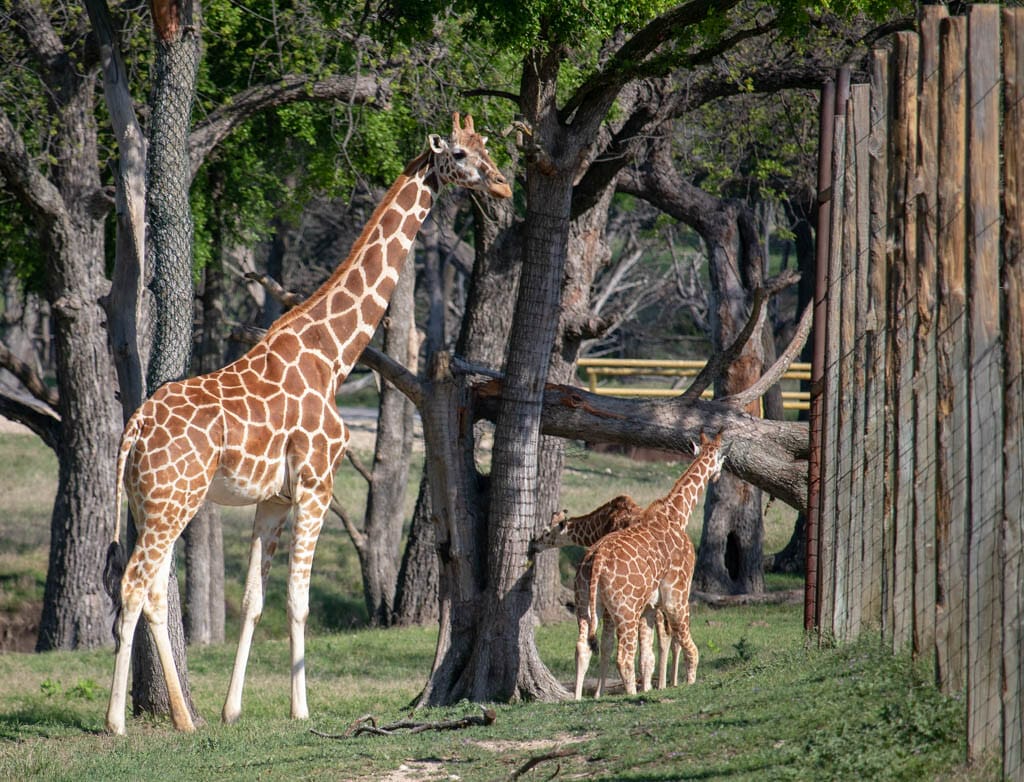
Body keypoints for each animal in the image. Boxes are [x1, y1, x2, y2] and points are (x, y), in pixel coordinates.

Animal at [103, 113, 512, 736]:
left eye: (487, 146)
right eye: (461, 155)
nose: (504, 185)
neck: (335, 354)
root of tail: (134, 428)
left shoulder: (274, 497)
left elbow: (254, 600)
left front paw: (232, 709)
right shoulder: (318, 483)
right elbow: (299, 599)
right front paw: (301, 709)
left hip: (158, 501)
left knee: (150, 589)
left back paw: (184, 718)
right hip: (174, 499)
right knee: (131, 584)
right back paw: (117, 722)